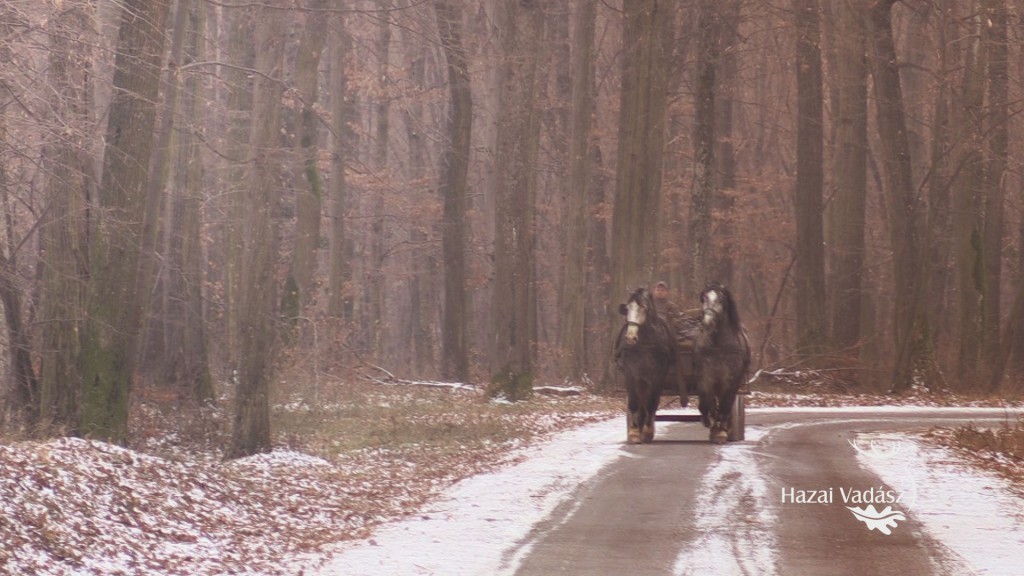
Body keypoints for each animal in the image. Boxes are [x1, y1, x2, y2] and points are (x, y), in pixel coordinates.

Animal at [610, 286, 675, 444]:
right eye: (627, 309)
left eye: (644, 309)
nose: (630, 337)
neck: (644, 344)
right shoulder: (631, 374)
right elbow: (634, 402)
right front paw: (634, 432)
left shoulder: (657, 376)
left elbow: (651, 403)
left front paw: (647, 431)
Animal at [692, 280, 749, 440]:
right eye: (703, 298)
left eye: (721, 299)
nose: (707, 323)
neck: (718, 344)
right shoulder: (705, 374)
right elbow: (706, 399)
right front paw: (709, 420)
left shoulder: (730, 378)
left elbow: (726, 403)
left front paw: (721, 428)